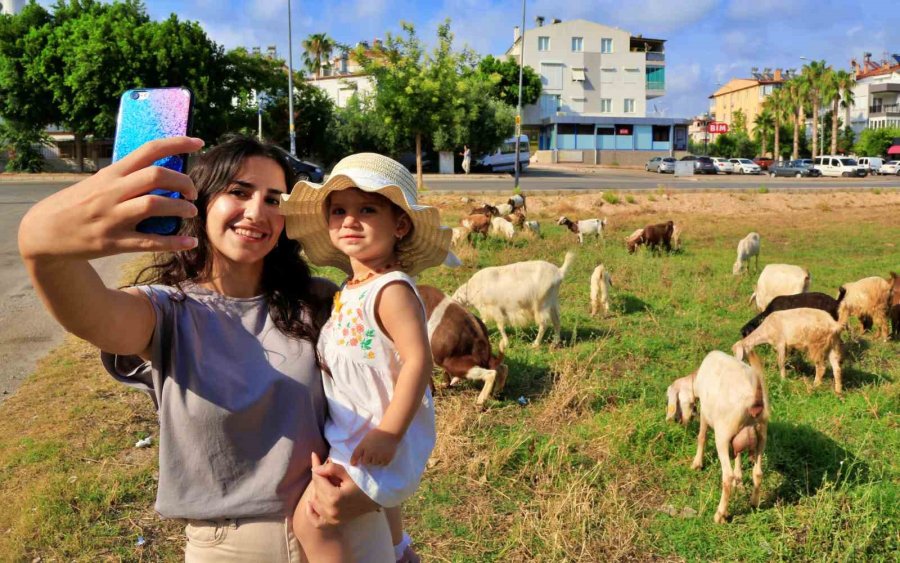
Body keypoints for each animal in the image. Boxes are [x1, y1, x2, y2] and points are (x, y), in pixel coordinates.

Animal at [664, 350, 768, 528]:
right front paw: (739, 479)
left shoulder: (706, 413)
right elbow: (738, 455)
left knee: (727, 476)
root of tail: (755, 400)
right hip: (761, 436)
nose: (679, 421)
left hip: (723, 435)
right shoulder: (738, 435)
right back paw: (754, 503)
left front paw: (697, 464)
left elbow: (702, 436)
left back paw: (720, 515)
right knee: (758, 472)